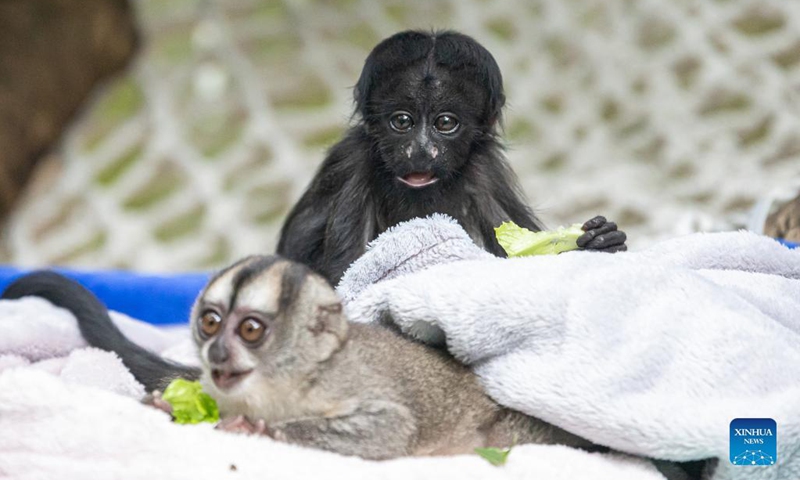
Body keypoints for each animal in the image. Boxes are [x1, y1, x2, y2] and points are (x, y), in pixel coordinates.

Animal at [2, 260, 598, 460]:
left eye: (250, 330)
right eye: (211, 322)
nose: (217, 352)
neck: (280, 386)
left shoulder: (348, 383)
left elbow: (392, 429)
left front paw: (263, 433)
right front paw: (167, 408)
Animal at [277, 30, 627, 286]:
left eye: (445, 123)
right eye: (402, 122)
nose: (420, 150)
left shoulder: (486, 170)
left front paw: (601, 240)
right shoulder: (351, 162)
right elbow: (344, 276)